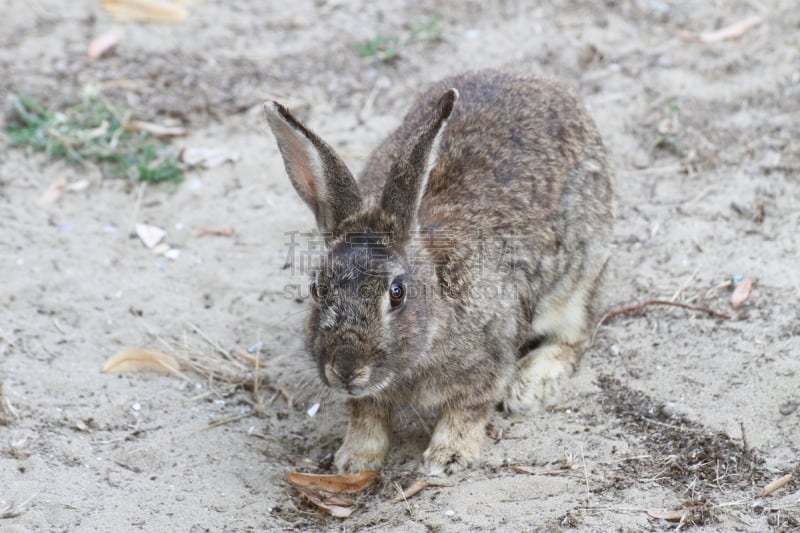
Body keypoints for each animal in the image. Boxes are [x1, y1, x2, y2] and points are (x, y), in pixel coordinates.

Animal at [266, 69, 616, 474]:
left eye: (397, 293)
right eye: (316, 289)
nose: (346, 368)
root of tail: (542, 81)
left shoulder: (490, 360)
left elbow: (467, 408)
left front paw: (448, 456)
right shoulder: (370, 396)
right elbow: (367, 415)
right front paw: (355, 460)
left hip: (580, 276)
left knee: (576, 335)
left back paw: (530, 386)